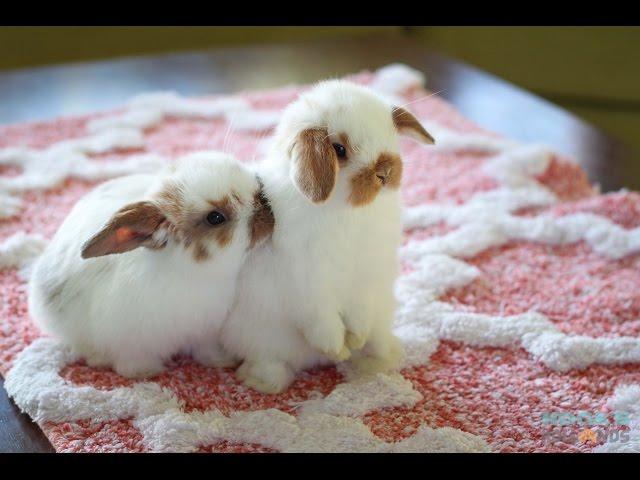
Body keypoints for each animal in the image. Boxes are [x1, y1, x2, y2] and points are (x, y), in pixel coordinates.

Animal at [28, 152, 274, 376]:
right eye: (215, 218)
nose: (269, 214)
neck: (188, 272)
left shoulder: (205, 330)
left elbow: (205, 350)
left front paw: (222, 361)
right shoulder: (131, 342)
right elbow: (131, 364)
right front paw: (146, 373)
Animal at [220, 79, 436, 394]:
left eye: (390, 134)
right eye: (339, 149)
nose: (385, 172)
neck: (348, 211)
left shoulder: (366, 277)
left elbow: (359, 311)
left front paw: (355, 339)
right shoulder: (310, 285)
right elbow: (324, 321)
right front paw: (338, 348)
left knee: (376, 339)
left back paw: (379, 362)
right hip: (259, 336)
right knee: (272, 360)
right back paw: (263, 381)